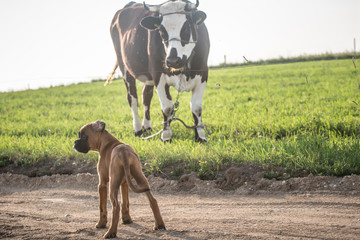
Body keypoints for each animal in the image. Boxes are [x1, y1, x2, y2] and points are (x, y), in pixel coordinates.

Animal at [107, 0, 210, 142]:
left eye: (186, 28)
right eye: (161, 31)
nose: (172, 60)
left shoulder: (203, 73)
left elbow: (196, 107)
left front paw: (200, 136)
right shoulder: (158, 75)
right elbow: (167, 107)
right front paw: (166, 135)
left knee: (146, 96)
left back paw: (147, 127)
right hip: (124, 67)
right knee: (132, 98)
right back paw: (138, 130)